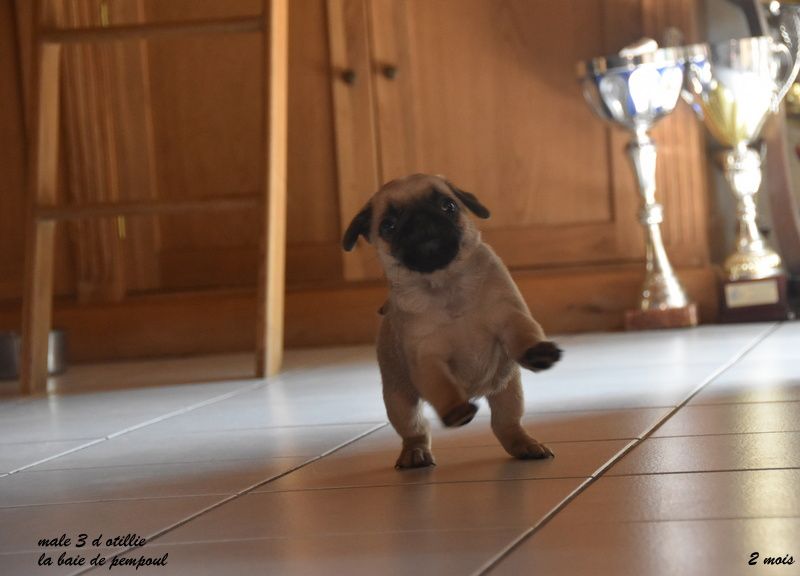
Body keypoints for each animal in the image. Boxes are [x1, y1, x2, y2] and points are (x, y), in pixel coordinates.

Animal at [342, 174, 562, 469]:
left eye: (449, 206)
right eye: (388, 225)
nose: (422, 219)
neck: (445, 284)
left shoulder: (509, 317)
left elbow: (523, 333)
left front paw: (538, 352)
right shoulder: (427, 358)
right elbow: (443, 387)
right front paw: (456, 409)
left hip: (509, 392)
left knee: (506, 424)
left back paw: (525, 445)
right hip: (399, 402)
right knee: (415, 431)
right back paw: (415, 454)